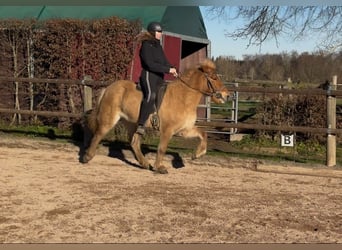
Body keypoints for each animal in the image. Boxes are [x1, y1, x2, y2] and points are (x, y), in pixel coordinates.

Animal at [81, 58, 228, 174]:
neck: (183, 97)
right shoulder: (167, 130)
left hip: (132, 123)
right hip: (110, 118)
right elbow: (162, 148)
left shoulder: (184, 129)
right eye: (214, 77)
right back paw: (87, 157)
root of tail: (109, 87)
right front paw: (160, 167)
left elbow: (203, 134)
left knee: (134, 142)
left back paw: (145, 164)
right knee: (98, 134)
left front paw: (197, 154)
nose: (227, 95)